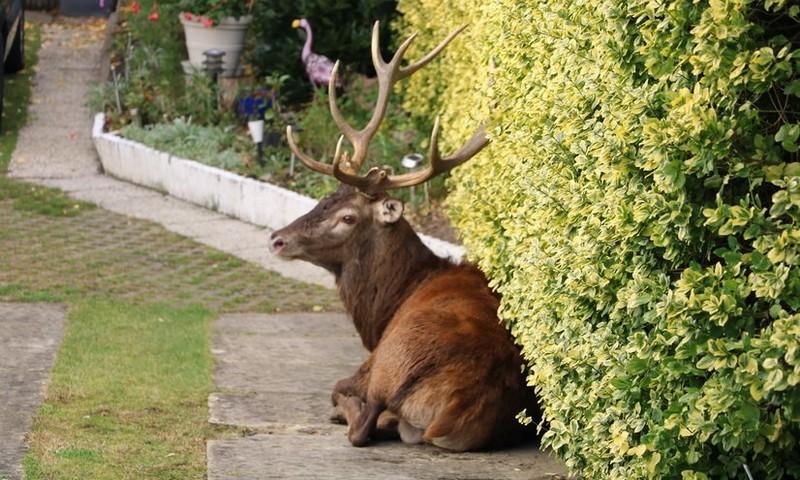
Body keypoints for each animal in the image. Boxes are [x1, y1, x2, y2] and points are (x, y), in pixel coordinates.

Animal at [268, 21, 541, 451]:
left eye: (347, 217)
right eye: (325, 198)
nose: (277, 238)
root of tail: (453, 410)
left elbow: (338, 392)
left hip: (386, 367)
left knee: (360, 423)